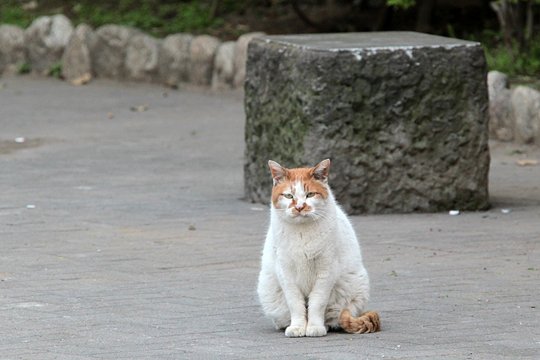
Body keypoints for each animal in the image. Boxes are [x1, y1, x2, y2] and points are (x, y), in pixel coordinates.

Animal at [258, 159, 380, 336]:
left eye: (310, 194)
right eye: (289, 195)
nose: (299, 207)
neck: (302, 233)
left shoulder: (326, 270)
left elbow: (317, 302)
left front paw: (315, 327)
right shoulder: (285, 272)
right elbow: (295, 303)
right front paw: (297, 327)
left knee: (334, 316)